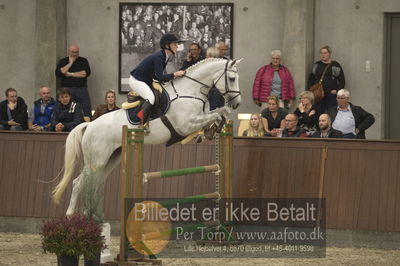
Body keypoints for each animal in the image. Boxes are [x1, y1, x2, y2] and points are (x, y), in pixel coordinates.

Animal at [52, 57, 242, 215]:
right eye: (232, 79)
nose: (237, 103)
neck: (190, 90)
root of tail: (90, 125)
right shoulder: (186, 124)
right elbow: (216, 114)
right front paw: (212, 129)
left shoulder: (198, 118)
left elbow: (220, 112)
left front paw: (212, 130)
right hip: (96, 161)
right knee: (78, 183)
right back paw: (71, 215)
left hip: (111, 159)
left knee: (94, 184)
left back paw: (93, 216)